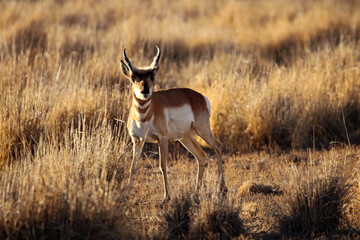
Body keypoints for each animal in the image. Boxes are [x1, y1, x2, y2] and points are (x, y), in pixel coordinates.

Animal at [122, 46, 226, 202]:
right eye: (133, 78)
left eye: (152, 77)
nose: (145, 91)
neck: (145, 116)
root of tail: (200, 97)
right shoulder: (137, 141)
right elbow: (133, 167)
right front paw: (125, 194)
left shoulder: (162, 139)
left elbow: (162, 166)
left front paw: (166, 197)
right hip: (185, 137)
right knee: (201, 156)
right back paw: (196, 194)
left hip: (202, 130)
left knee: (217, 146)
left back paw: (222, 189)